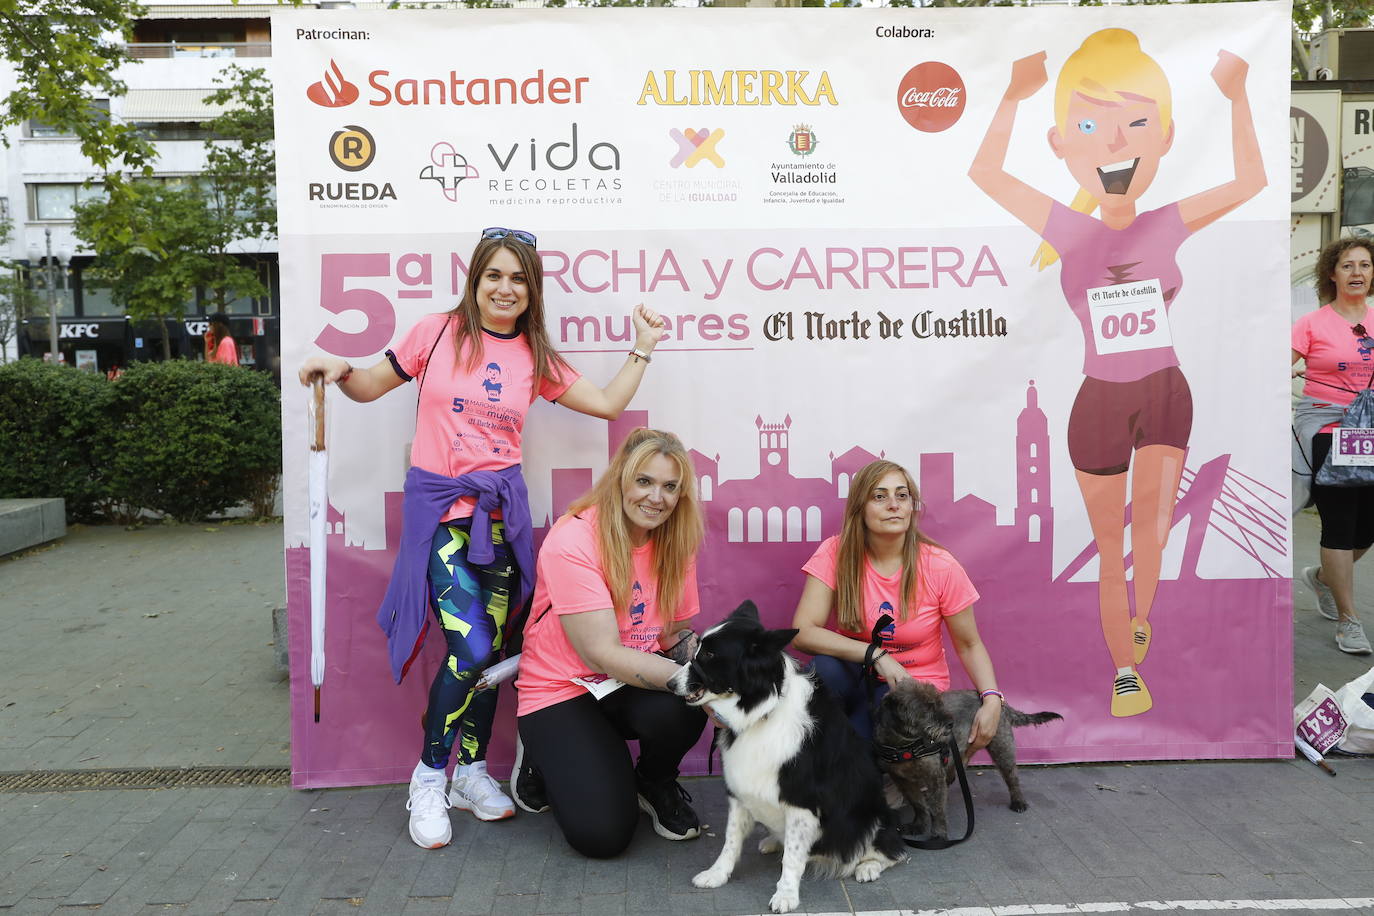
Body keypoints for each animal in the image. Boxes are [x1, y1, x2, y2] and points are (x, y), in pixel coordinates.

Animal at [868, 681, 1060, 840]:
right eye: (926, 709)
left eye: (939, 703)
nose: (950, 724)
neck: (904, 746)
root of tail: (998, 703)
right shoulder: (902, 780)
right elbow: (918, 804)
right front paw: (918, 825)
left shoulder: (934, 777)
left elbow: (937, 808)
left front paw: (938, 834)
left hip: (1002, 748)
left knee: (1012, 777)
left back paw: (1018, 801)